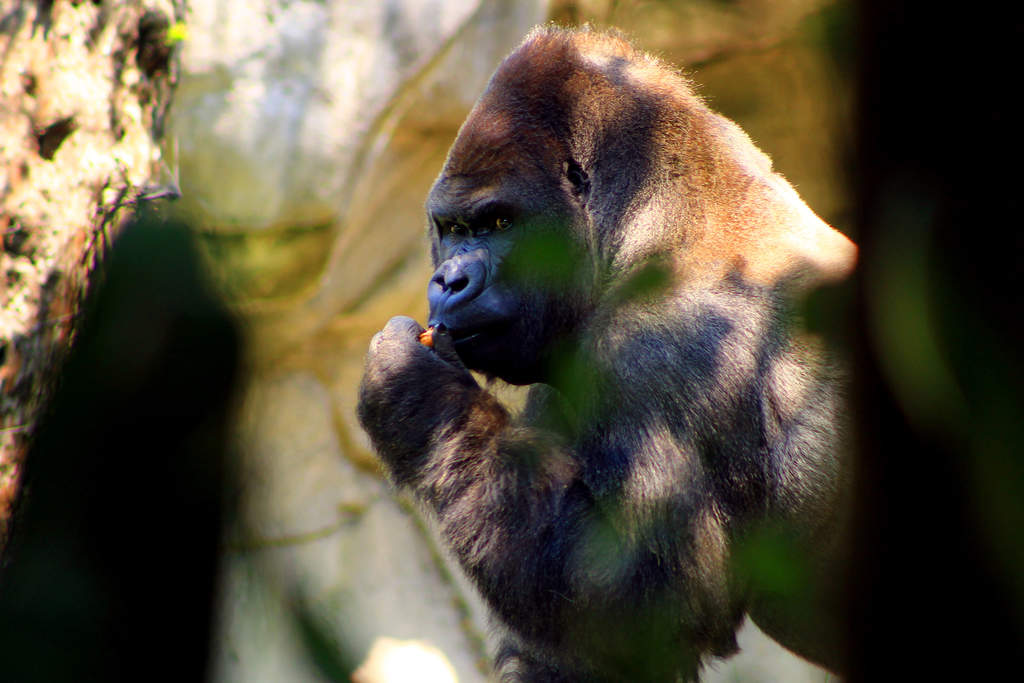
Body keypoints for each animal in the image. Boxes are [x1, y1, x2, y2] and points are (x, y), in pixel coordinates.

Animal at [358, 26, 856, 683]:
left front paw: (414, 394)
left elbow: (646, 603)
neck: (663, 218)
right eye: (455, 228)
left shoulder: (657, 348)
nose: (448, 281)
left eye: (498, 222)